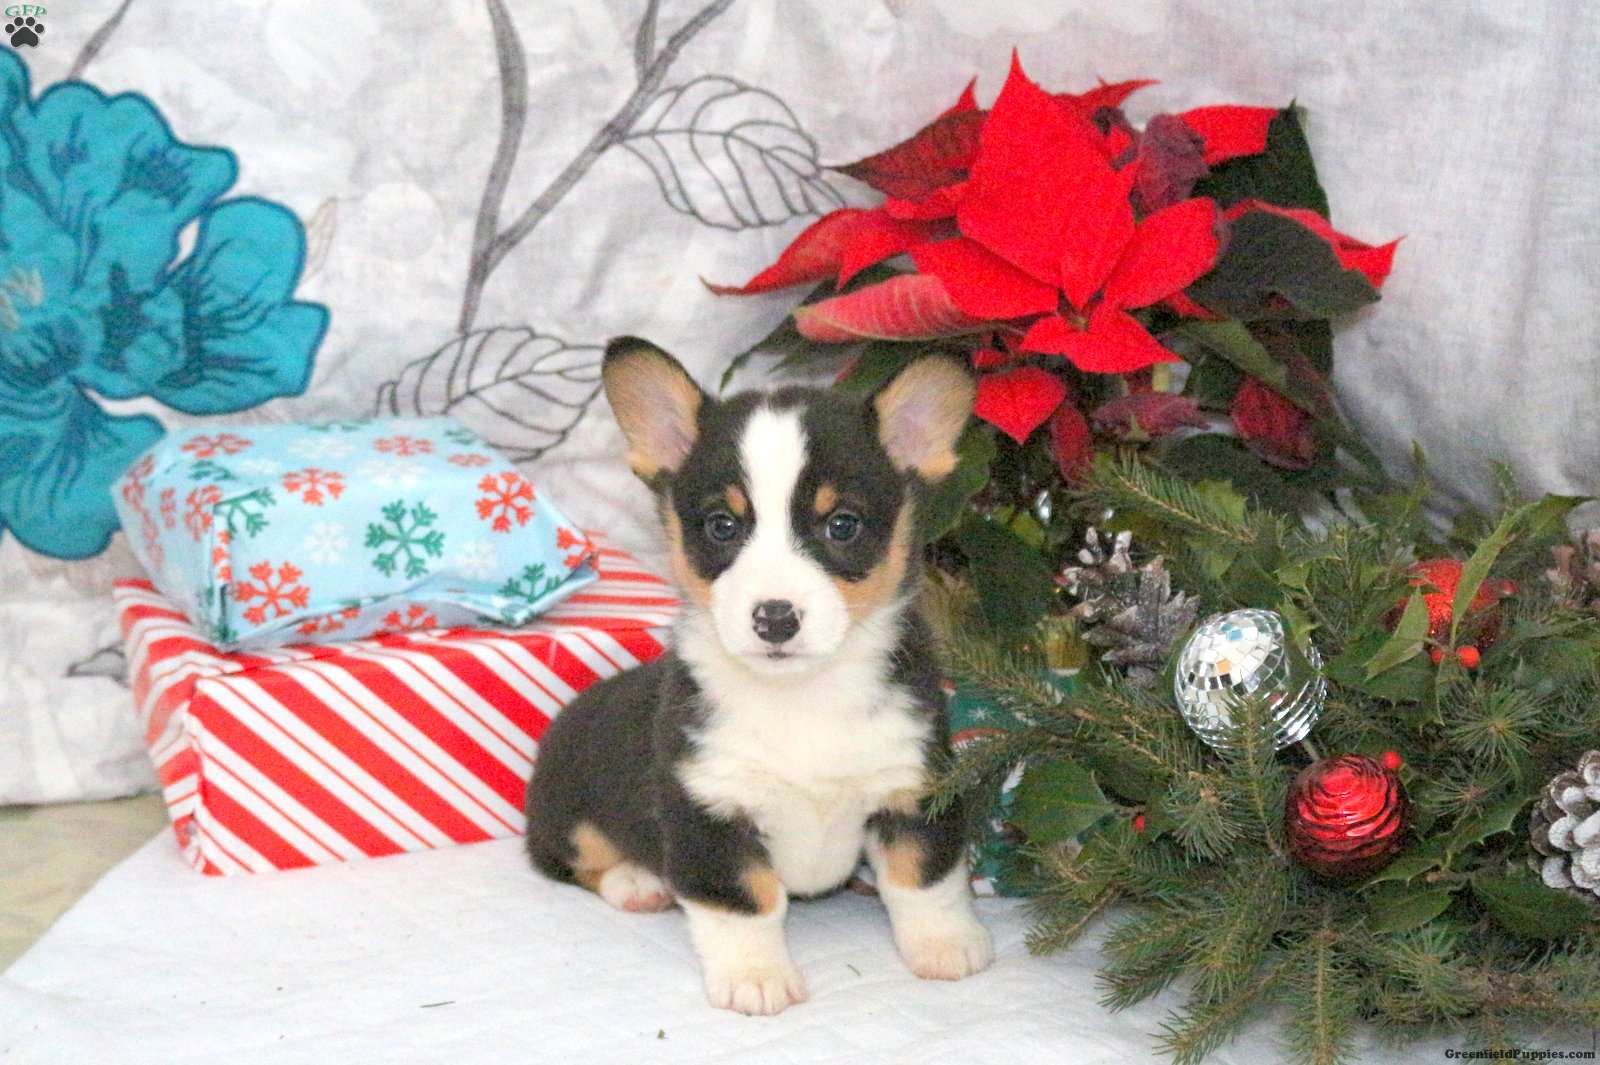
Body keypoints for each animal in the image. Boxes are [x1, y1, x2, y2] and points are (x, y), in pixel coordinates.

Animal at [524, 337, 991, 1016]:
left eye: (842, 525)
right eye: (723, 525)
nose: (775, 617)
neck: (802, 695)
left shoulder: (913, 785)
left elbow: (922, 879)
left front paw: (945, 946)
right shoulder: (709, 808)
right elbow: (746, 903)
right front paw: (756, 978)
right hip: (567, 816)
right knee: (571, 859)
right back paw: (638, 880)